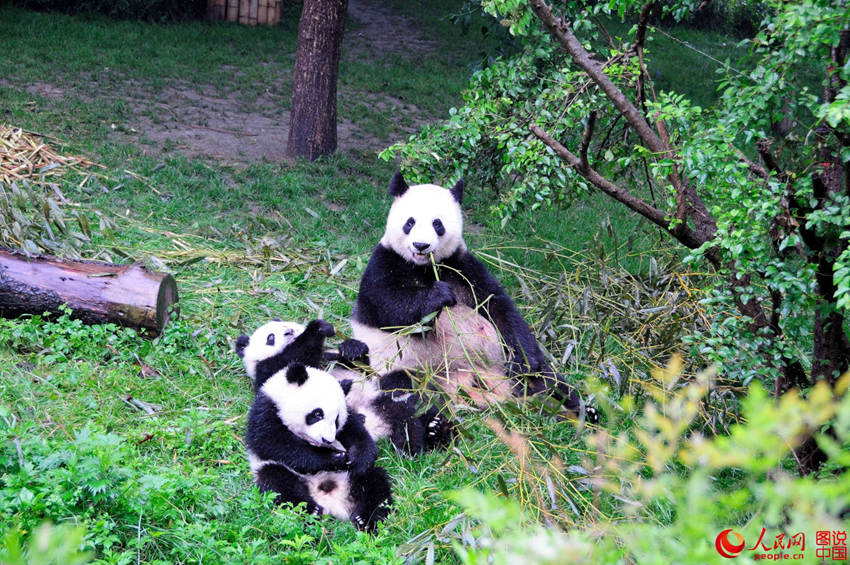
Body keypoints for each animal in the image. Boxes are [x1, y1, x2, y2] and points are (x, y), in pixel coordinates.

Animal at [235, 318, 454, 454]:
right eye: (270, 338)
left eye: (289, 326)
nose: (289, 332)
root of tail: (381, 422)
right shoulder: (270, 371)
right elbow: (294, 359)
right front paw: (317, 328)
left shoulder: (334, 359)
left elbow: (358, 366)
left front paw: (352, 348)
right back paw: (415, 443)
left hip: (390, 396)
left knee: (410, 395)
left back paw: (435, 430)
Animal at [243, 362, 392, 532]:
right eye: (317, 414)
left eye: (336, 420)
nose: (327, 440)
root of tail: (330, 500)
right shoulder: (265, 411)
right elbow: (275, 443)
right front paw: (334, 459)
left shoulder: (348, 419)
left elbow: (356, 431)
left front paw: (358, 458)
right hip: (278, 473)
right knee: (278, 482)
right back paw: (311, 510)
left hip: (350, 477)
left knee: (375, 483)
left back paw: (365, 519)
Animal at [348, 172, 592, 424]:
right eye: (410, 222)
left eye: (437, 224)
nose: (421, 245)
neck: (425, 267)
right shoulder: (384, 263)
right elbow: (388, 305)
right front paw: (439, 295)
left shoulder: (462, 267)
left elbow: (499, 308)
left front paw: (524, 360)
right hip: (408, 367)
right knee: (412, 392)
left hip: (503, 365)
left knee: (547, 379)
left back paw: (579, 410)